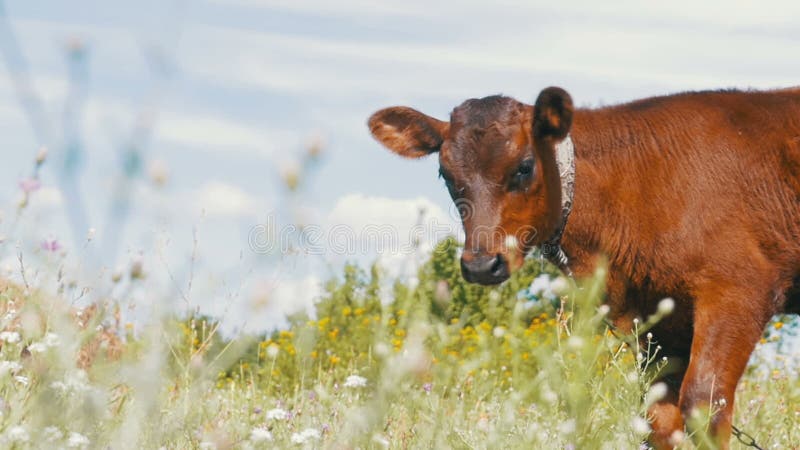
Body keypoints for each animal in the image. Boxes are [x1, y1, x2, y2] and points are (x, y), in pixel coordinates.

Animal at [368, 87, 800, 446]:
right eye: (445, 174)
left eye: (524, 166)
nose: (481, 265)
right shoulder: (660, 318)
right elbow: (660, 418)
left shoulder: (739, 289)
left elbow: (704, 403)